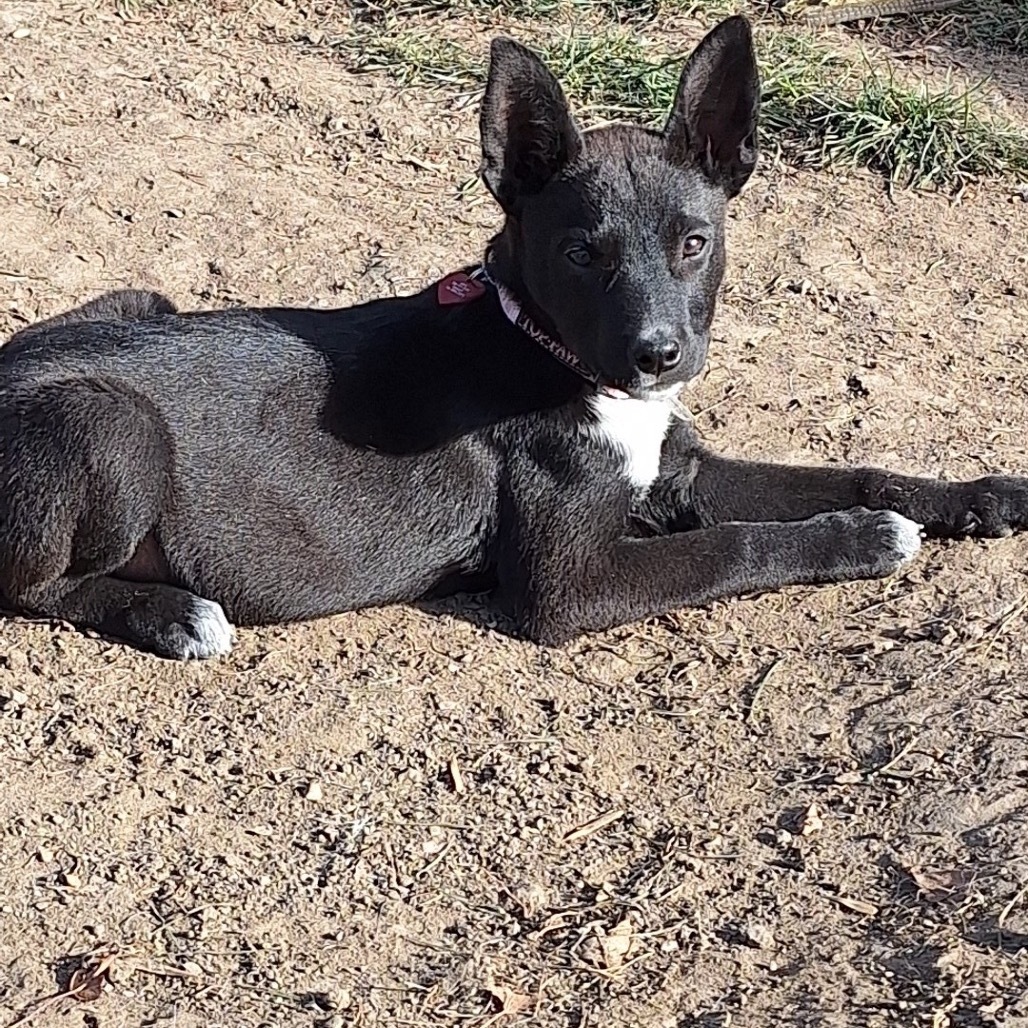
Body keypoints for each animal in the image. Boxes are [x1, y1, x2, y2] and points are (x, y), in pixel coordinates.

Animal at [2, 16, 1028, 657]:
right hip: (112, 427)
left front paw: (981, 496)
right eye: (579, 253)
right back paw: (172, 614)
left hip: (146, 296)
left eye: (694, 243)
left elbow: (857, 469)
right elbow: (739, 547)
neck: (546, 348)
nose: (659, 354)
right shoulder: (568, 585)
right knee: (33, 586)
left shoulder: (682, 470)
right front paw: (863, 539)